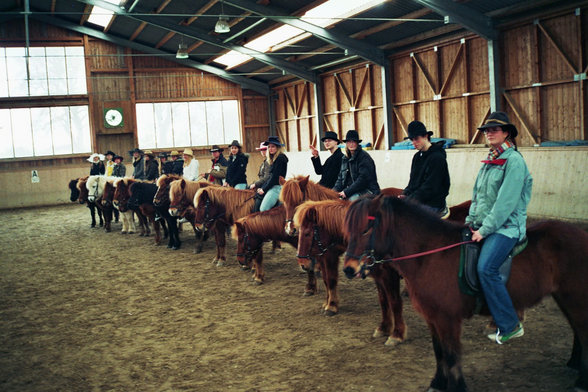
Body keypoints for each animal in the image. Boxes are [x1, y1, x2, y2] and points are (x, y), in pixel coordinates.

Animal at [342, 194, 588, 390]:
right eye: (349, 229)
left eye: (366, 228)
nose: (349, 269)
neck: (430, 254)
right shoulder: (433, 317)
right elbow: (439, 352)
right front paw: (438, 384)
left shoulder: (448, 319)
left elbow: (452, 356)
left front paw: (456, 386)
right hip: (565, 297)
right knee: (578, 331)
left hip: (575, 298)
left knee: (582, 331)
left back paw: (581, 382)